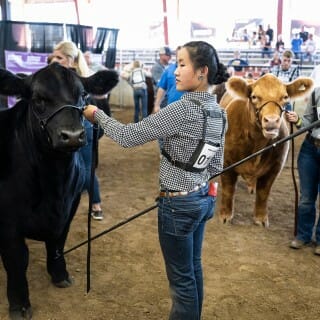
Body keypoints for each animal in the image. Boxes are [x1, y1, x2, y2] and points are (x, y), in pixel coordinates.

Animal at [0, 61, 119, 318]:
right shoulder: (7, 223)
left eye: (83, 95)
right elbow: (17, 260)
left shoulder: (70, 206)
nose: (72, 136)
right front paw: (19, 304)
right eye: (38, 99)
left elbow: (58, 241)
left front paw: (60, 275)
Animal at [218, 73, 312, 226]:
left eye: (285, 97)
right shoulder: (226, 164)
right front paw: (225, 215)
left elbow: (263, 193)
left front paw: (261, 218)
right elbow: (228, 190)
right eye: (254, 96)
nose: (272, 121)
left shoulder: (275, 168)